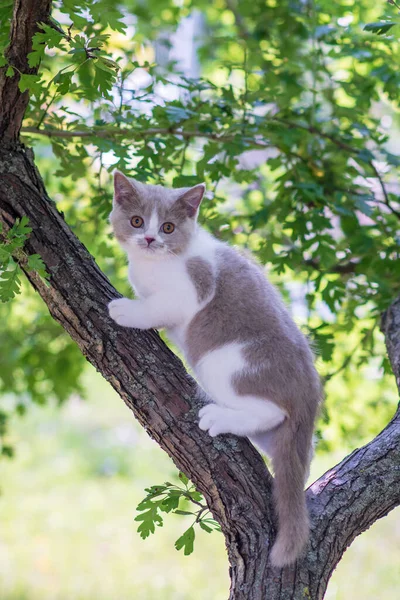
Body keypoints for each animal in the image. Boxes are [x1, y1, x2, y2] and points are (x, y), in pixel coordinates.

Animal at [108, 170, 322, 568]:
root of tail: (311, 395)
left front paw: (126, 310)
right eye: (137, 221)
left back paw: (217, 417)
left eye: (168, 226)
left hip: (223, 360)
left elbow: (157, 307)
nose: (150, 239)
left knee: (269, 410)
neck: (157, 264)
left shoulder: (192, 288)